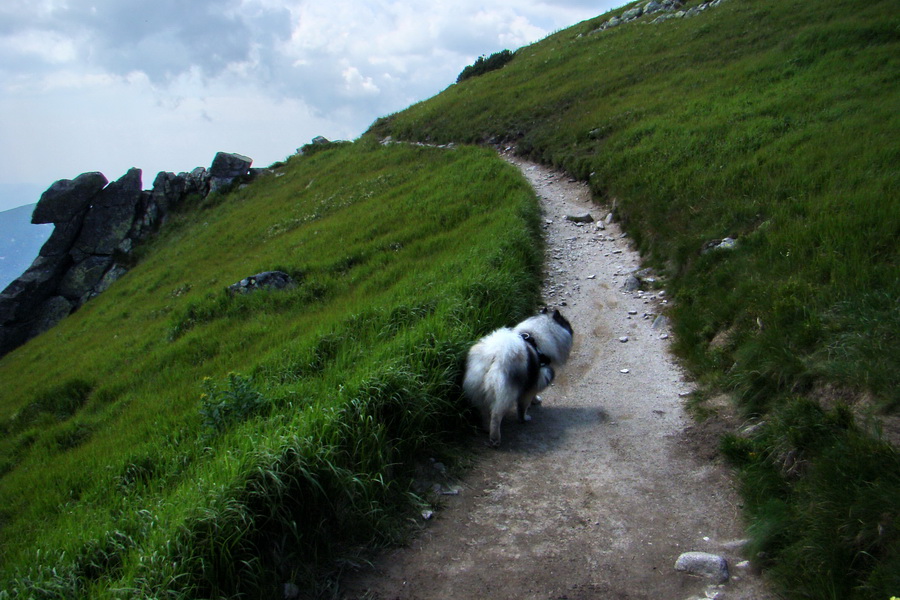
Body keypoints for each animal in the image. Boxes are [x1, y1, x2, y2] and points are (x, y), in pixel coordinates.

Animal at [464, 310, 576, 446]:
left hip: (480, 390)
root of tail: (494, 355)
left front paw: (535, 401)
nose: (572, 329)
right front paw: (524, 417)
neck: (537, 340)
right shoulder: (534, 382)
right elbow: (524, 405)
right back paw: (495, 438)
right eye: (566, 323)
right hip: (506, 393)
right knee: (496, 416)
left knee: (484, 411)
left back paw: (486, 428)